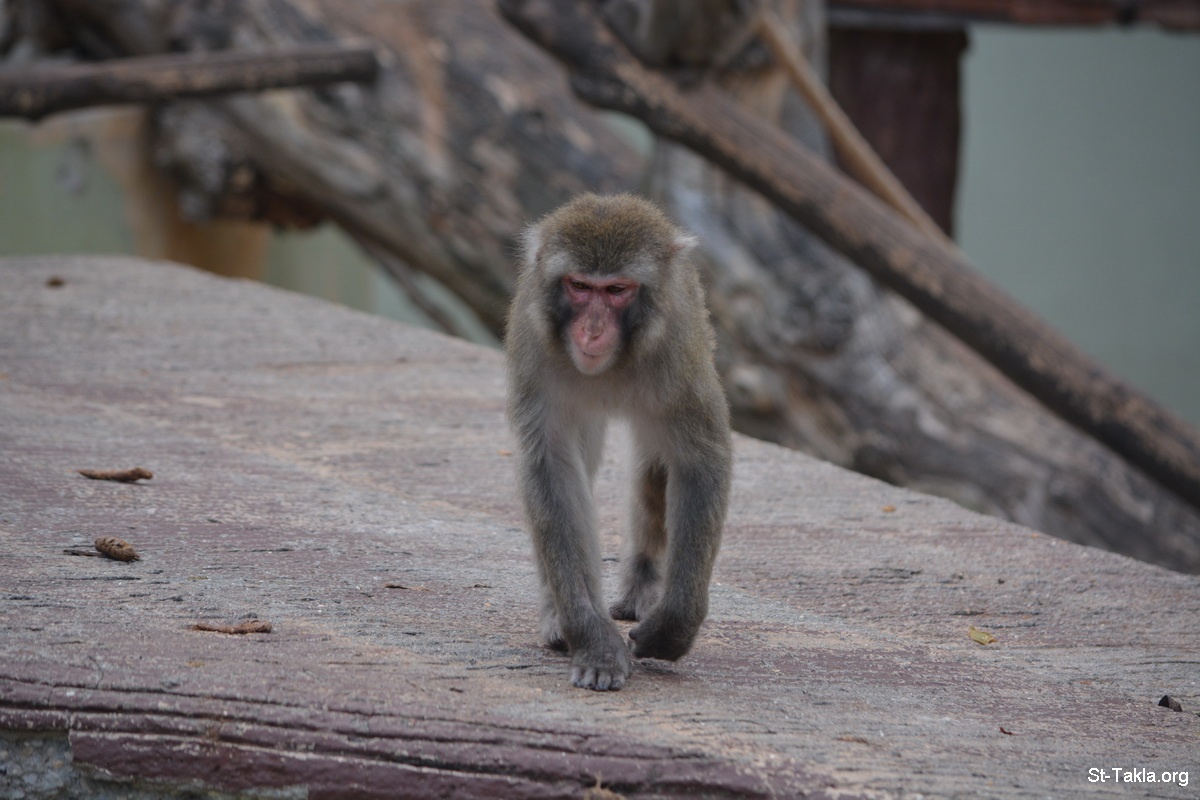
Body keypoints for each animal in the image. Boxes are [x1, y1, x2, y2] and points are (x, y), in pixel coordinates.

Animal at [505, 193, 733, 691]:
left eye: (616, 291)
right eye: (579, 286)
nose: (592, 330)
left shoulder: (677, 349)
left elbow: (699, 461)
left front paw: (673, 626)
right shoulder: (534, 347)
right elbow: (551, 468)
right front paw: (593, 639)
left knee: (655, 464)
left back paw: (643, 587)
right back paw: (558, 613)